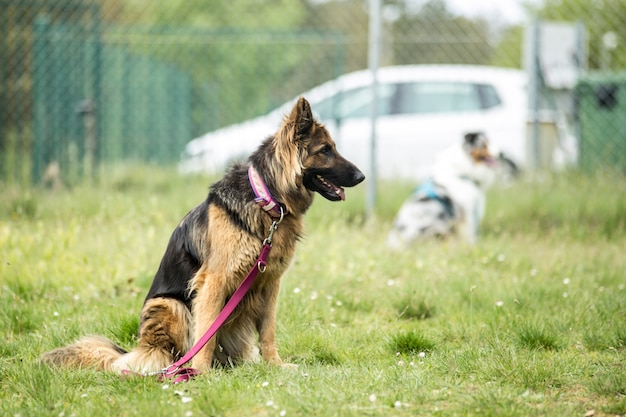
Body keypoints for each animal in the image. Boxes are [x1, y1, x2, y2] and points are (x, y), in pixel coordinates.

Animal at [41, 98, 364, 374]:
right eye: (325, 150)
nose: (361, 176)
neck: (266, 199)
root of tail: (137, 351)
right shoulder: (213, 282)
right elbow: (205, 333)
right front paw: (201, 373)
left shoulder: (271, 283)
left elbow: (268, 332)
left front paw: (275, 365)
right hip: (170, 305)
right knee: (170, 351)